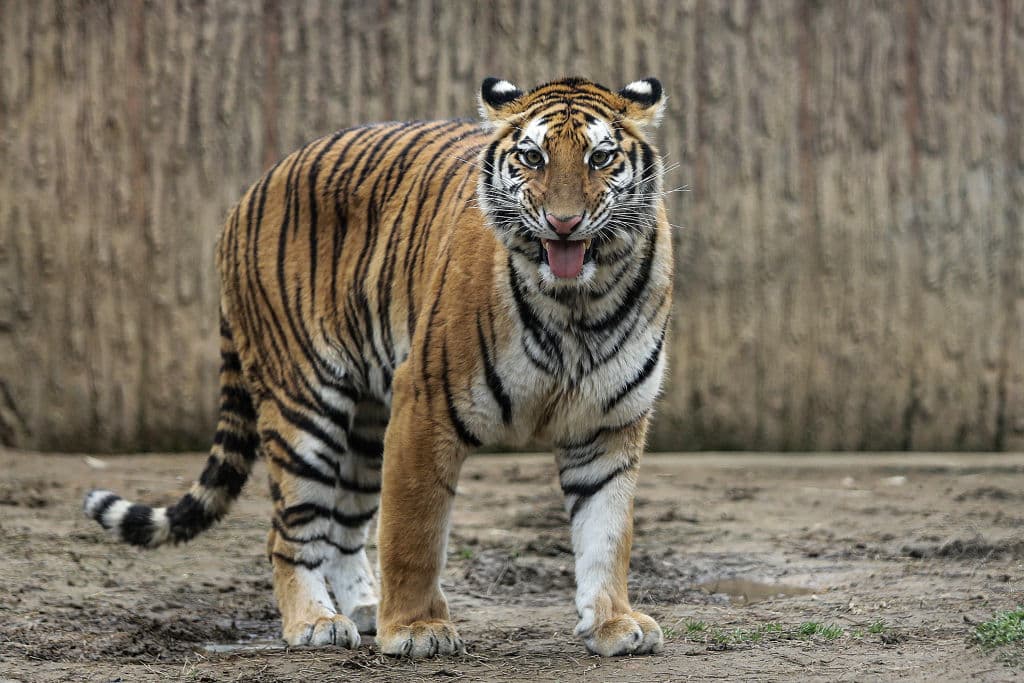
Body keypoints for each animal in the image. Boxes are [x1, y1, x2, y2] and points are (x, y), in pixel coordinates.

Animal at [83, 76, 673, 658]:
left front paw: (614, 622)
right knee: (289, 531)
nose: (563, 223)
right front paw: (415, 629)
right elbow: (413, 533)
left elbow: (606, 535)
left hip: (366, 419)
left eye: (600, 158)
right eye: (533, 157)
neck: (579, 306)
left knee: (343, 527)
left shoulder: (607, 426)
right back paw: (315, 621)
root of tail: (247, 195)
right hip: (304, 407)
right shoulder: (426, 404)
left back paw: (364, 607)